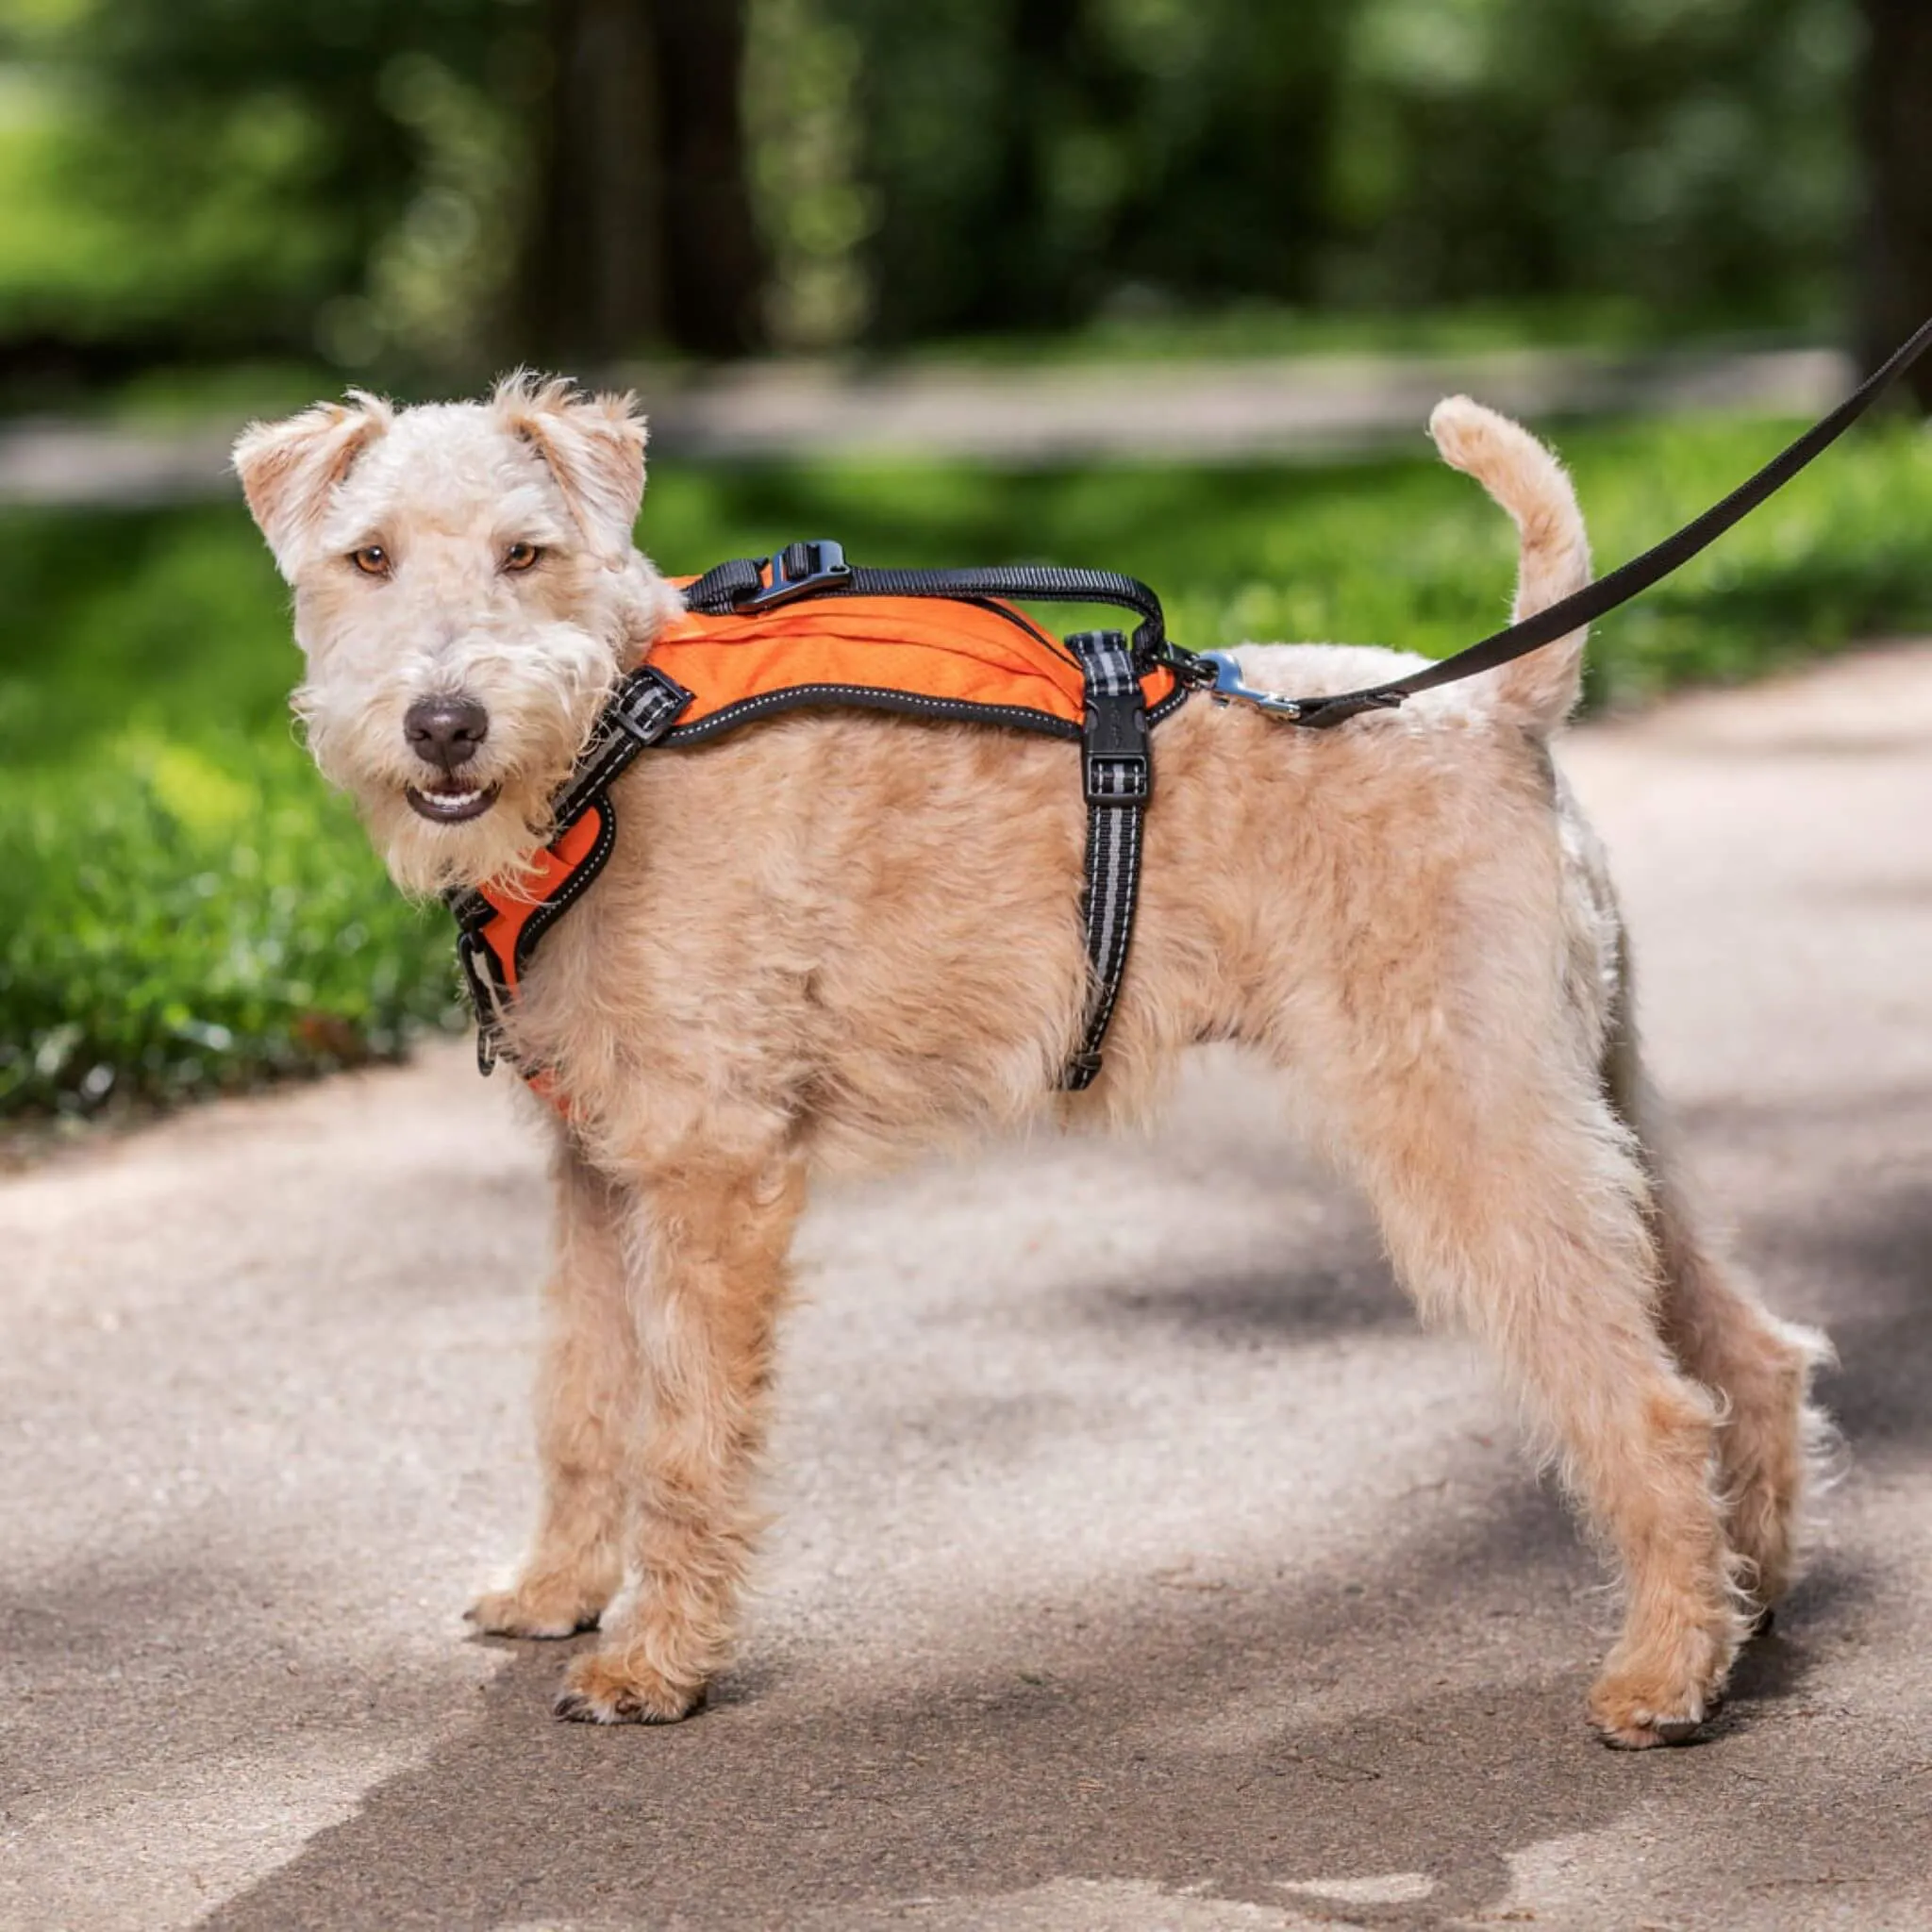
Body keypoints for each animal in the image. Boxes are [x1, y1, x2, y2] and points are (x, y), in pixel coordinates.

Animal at [237, 376, 1824, 1754]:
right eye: (367, 556)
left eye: (528, 551)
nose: (446, 726)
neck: (618, 737)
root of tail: (1500, 705)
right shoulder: (595, 1170)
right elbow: (580, 1399)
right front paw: (557, 1592)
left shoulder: (708, 1171)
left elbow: (682, 1438)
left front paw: (649, 1666)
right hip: (1592, 1097)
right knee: (1746, 1346)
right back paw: (1752, 1603)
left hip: (1474, 1129)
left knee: (1649, 1401)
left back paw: (1663, 1671)